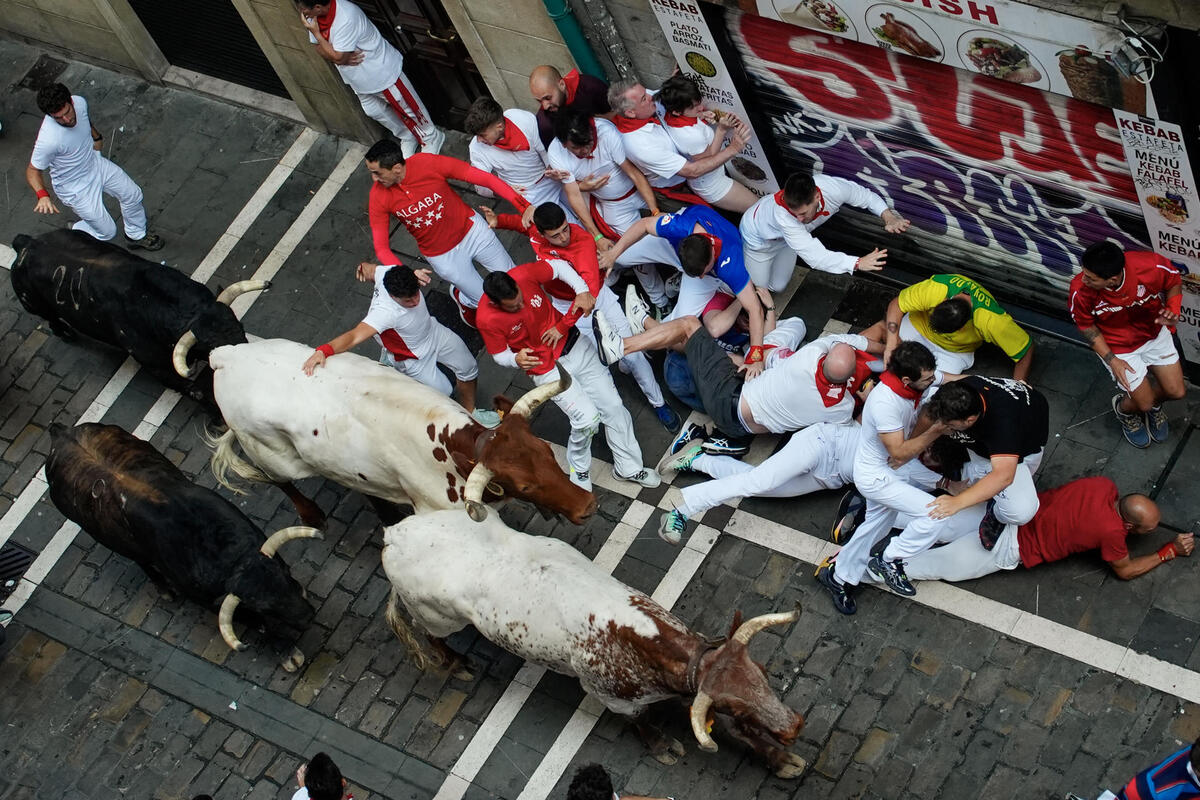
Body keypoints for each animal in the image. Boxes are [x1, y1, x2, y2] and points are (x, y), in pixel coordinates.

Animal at [9, 227, 265, 402]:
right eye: (213, 349)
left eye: (240, 328)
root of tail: (27, 243)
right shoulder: (157, 368)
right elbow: (195, 391)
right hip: (34, 305)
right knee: (51, 319)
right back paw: (65, 333)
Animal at [46, 424, 321, 671]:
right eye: (262, 606)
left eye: (284, 574)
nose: (308, 616)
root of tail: (59, 431)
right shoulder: (208, 600)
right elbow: (260, 624)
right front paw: (286, 652)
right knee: (141, 561)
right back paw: (164, 590)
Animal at [206, 340, 600, 527]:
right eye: (525, 486)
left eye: (547, 453)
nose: (588, 506)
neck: (450, 446)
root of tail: (224, 356)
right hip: (270, 454)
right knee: (280, 480)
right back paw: (311, 515)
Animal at [384, 510, 811, 777]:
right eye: (734, 704)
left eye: (763, 673)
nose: (793, 727)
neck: (638, 639)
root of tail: (396, 535)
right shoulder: (612, 697)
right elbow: (641, 722)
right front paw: (662, 747)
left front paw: (780, 758)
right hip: (435, 616)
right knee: (428, 634)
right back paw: (456, 664)